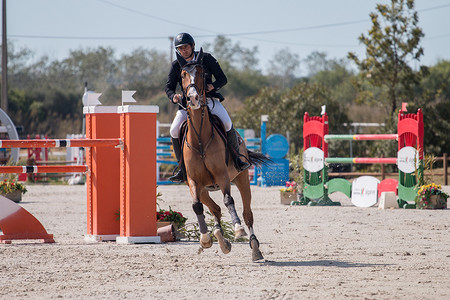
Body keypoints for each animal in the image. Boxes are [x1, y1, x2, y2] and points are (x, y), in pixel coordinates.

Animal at [176, 48, 268, 262]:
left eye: (202, 73)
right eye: (182, 75)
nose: (193, 98)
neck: (200, 140)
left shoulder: (222, 176)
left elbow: (229, 201)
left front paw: (238, 230)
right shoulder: (193, 181)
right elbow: (197, 206)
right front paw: (205, 239)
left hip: (241, 179)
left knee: (247, 213)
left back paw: (254, 247)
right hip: (204, 189)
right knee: (214, 209)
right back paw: (221, 240)